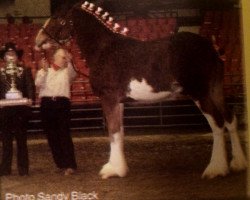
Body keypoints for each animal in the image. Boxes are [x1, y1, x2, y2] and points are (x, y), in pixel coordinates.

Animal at [34, 1, 247, 180]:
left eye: (59, 19)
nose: (38, 41)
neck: (104, 49)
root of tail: (211, 46)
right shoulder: (119, 101)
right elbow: (119, 133)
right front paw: (119, 168)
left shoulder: (108, 98)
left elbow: (112, 131)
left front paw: (112, 170)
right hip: (216, 90)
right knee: (230, 119)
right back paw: (238, 164)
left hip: (200, 93)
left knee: (217, 123)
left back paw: (216, 169)